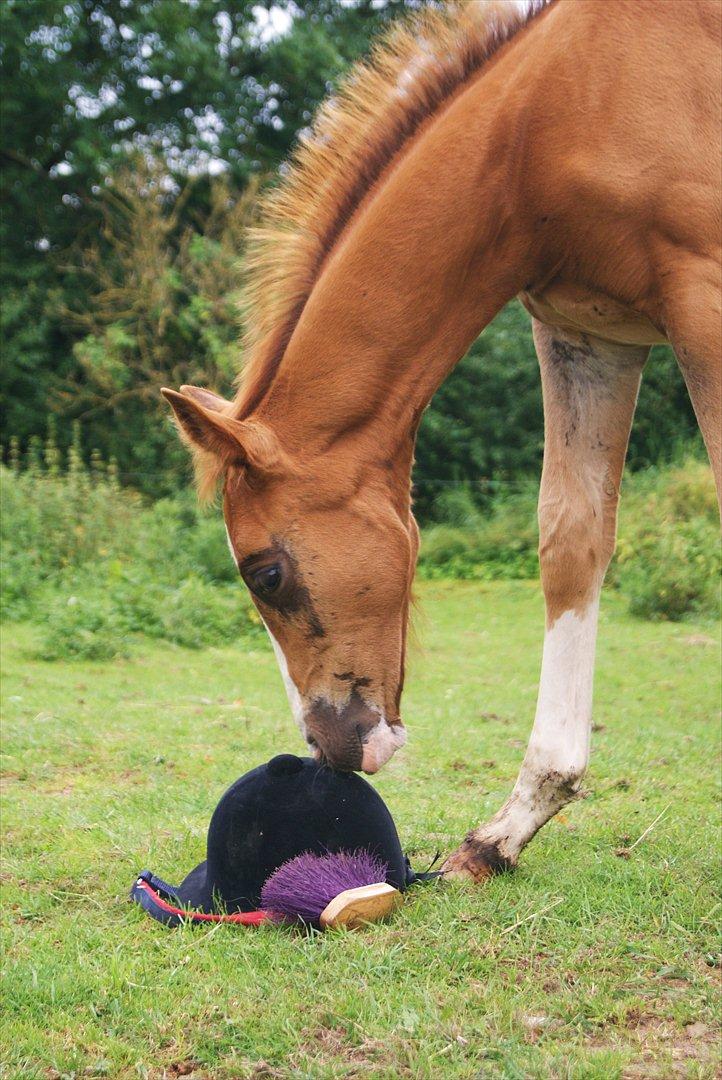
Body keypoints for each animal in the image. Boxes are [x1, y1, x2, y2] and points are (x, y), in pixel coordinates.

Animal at [162, 0, 720, 876]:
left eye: (267, 575)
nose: (329, 751)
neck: (549, 118)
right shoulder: (588, 333)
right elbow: (571, 540)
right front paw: (509, 828)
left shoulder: (705, 296)